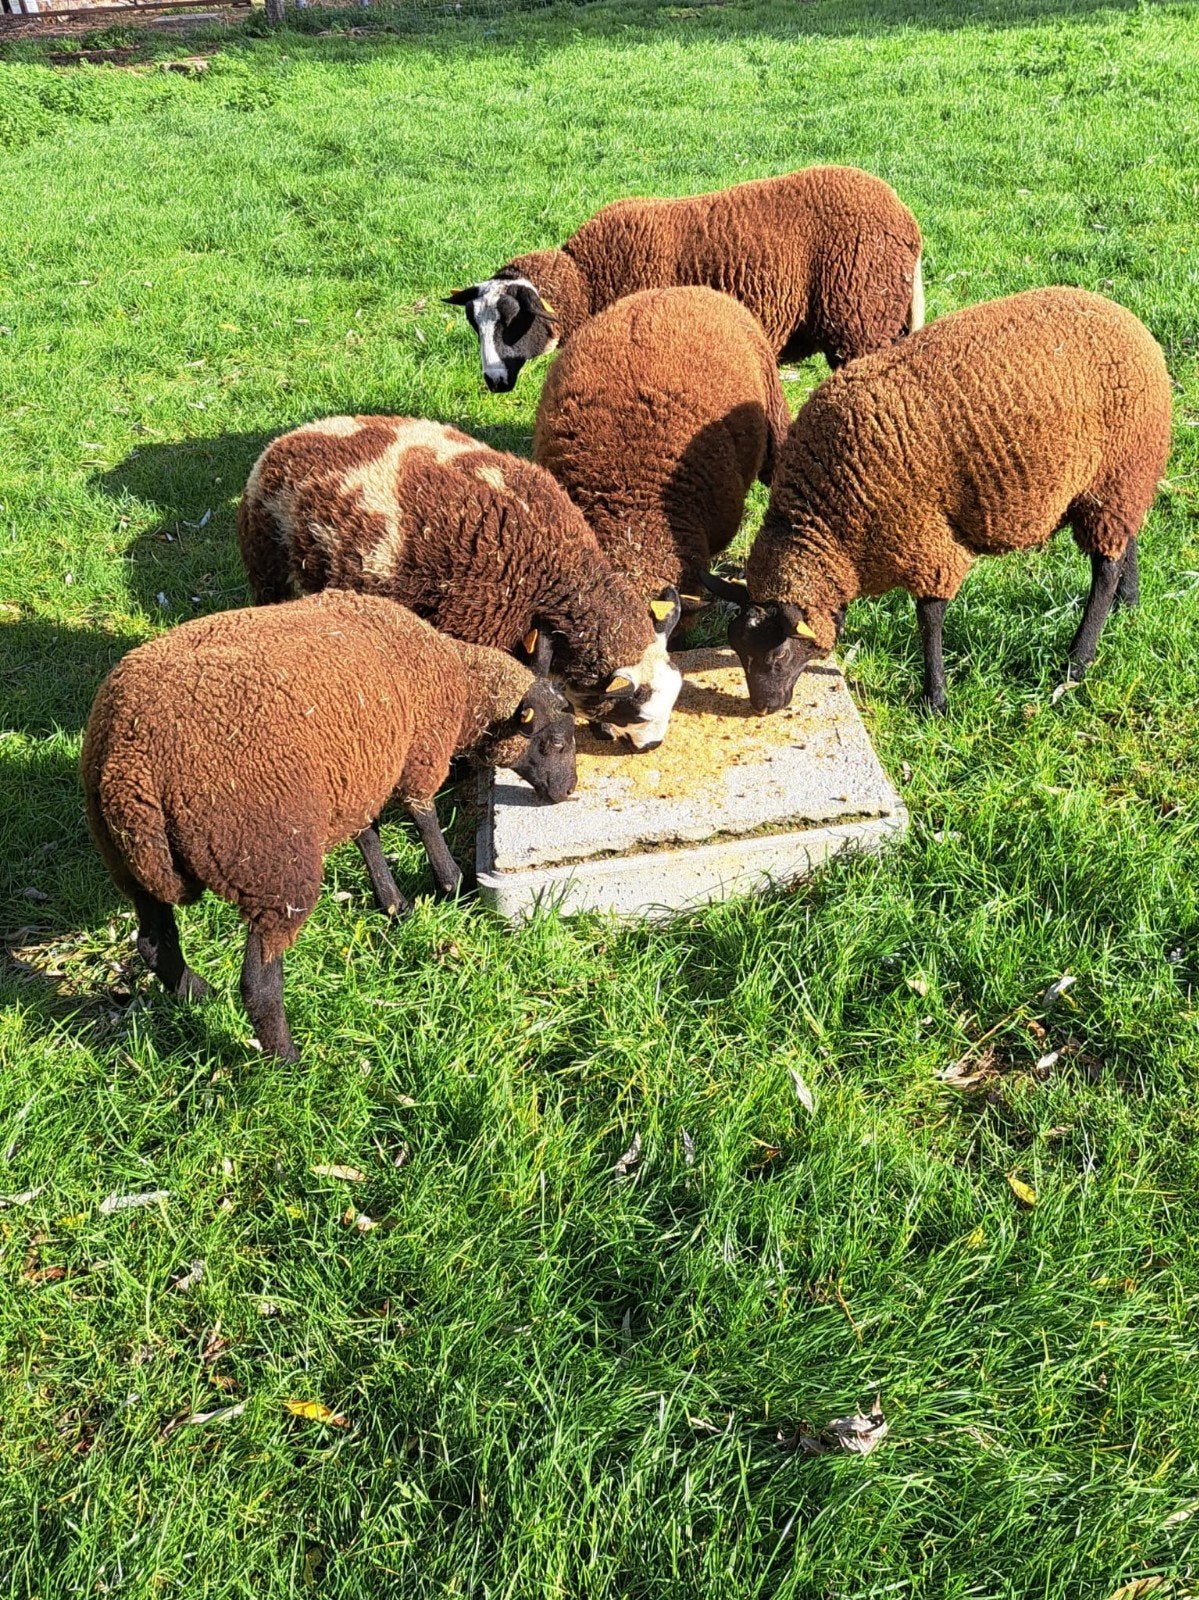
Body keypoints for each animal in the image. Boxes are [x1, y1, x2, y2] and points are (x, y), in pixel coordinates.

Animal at [81, 589, 577, 1062]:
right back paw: (288, 1063)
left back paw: (201, 996)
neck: (459, 682)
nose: (568, 790)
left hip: (128, 862)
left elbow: (368, 837)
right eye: (555, 742)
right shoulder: (419, 755)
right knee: (258, 984)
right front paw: (452, 886)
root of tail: (129, 762)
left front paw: (395, 904)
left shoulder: (357, 778)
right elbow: (424, 819)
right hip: (271, 868)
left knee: (154, 943)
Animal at [444, 165, 923, 391]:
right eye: (473, 325)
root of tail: (905, 220)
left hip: (861, 320)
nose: (493, 381)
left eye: (513, 321)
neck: (588, 278)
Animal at [702, 287, 1172, 715]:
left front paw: (935, 700)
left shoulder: (924, 541)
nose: (764, 707)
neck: (825, 524)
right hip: (1122, 472)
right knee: (1124, 537)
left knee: (1103, 567)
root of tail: (1130, 322)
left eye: (778, 653)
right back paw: (1128, 602)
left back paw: (1078, 659)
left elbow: (929, 616)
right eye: (739, 652)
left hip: (1116, 470)